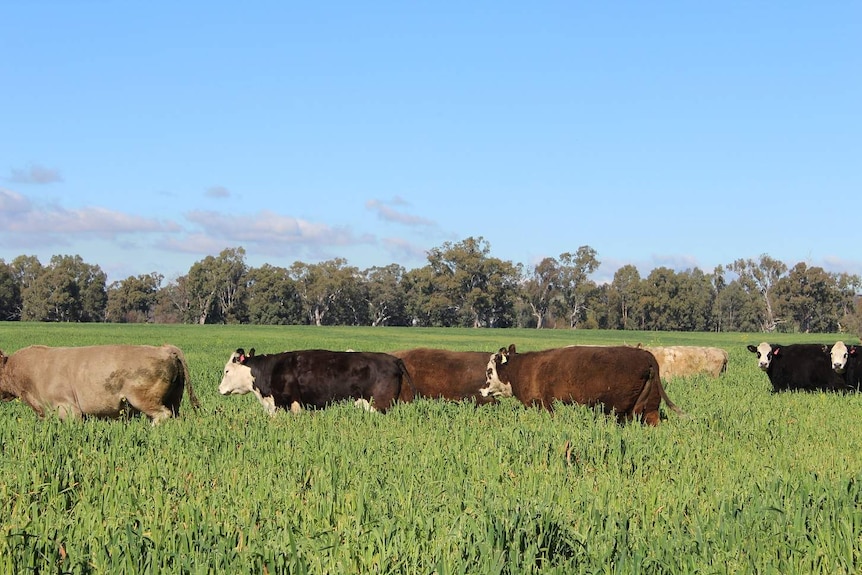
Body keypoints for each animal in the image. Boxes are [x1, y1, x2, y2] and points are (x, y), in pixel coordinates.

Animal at [482, 344, 684, 426]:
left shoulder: (544, 406)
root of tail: (646, 356)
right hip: (650, 409)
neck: (522, 368)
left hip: (619, 411)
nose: (482, 391)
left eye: (489, 371)